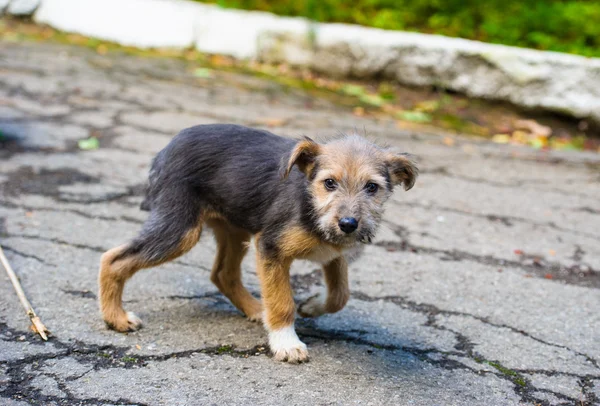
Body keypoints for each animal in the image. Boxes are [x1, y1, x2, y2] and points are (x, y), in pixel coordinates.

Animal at [99, 123, 418, 362]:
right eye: (329, 183)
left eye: (372, 187)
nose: (349, 224)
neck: (311, 206)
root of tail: (166, 149)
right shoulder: (270, 247)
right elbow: (282, 301)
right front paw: (286, 343)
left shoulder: (333, 254)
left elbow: (340, 295)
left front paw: (312, 306)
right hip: (180, 229)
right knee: (113, 258)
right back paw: (116, 318)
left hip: (234, 229)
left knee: (223, 274)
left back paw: (256, 309)